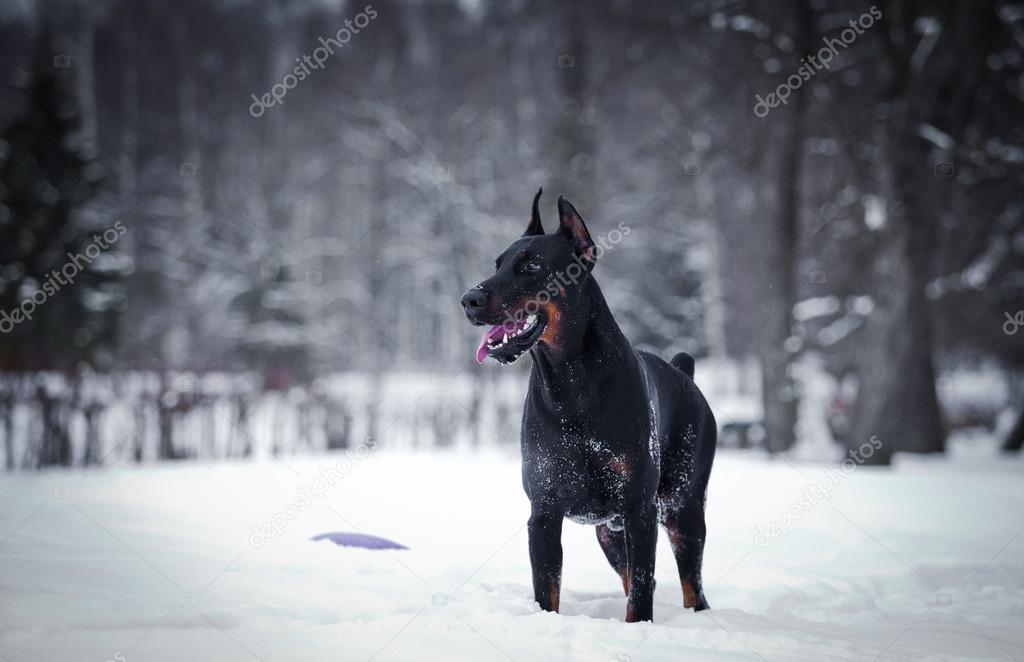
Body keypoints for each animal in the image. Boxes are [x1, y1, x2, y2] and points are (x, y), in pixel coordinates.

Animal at [460, 190, 716, 623]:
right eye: (498, 263)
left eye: (532, 264)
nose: (469, 299)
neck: (571, 385)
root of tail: (686, 375)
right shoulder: (543, 512)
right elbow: (547, 589)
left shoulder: (639, 509)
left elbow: (641, 592)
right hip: (609, 531)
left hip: (682, 507)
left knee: (690, 584)